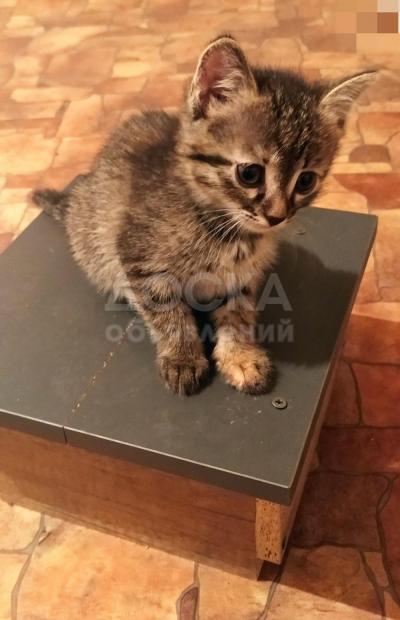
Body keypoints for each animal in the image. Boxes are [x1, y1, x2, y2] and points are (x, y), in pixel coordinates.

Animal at [32, 34, 376, 396]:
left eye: (306, 181)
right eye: (250, 174)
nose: (277, 216)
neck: (225, 229)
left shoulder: (244, 275)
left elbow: (238, 313)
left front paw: (241, 356)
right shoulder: (139, 255)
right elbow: (169, 313)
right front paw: (183, 358)